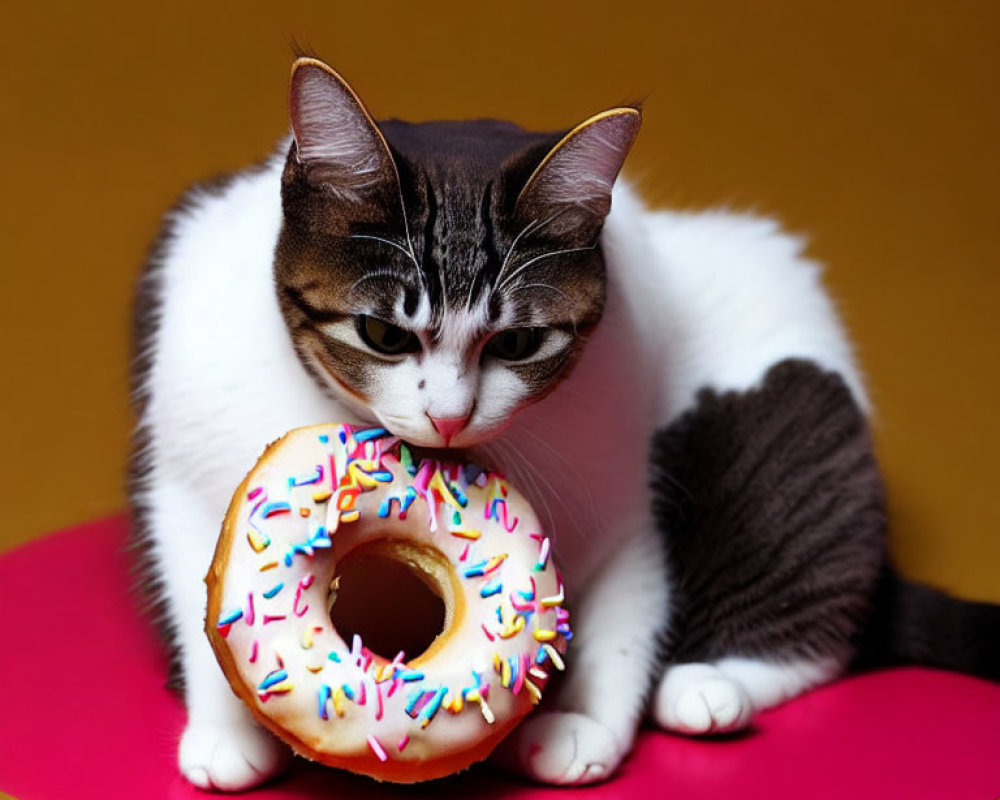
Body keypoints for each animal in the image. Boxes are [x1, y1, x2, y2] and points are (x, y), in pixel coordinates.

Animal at [129, 59, 996, 792]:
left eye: (517, 343)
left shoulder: (617, 482)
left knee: (824, 609)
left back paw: (709, 684)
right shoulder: (187, 450)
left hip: (788, 433)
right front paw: (226, 730)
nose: (449, 415)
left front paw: (581, 722)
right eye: (380, 333)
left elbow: (625, 596)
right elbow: (193, 561)